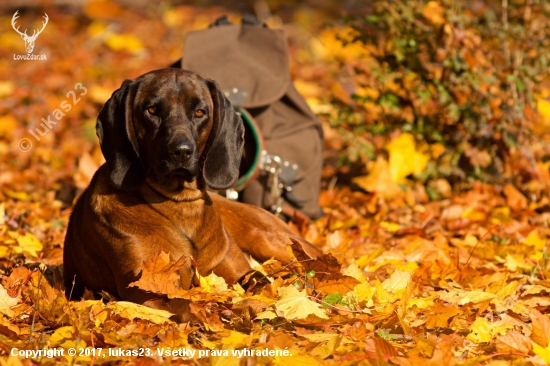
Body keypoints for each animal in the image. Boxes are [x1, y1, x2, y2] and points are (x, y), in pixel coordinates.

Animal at [63, 68, 322, 320]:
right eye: (152, 110)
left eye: (199, 112)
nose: (181, 151)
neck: (181, 205)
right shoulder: (144, 289)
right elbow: (186, 308)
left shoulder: (236, 270)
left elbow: (261, 282)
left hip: (273, 241)